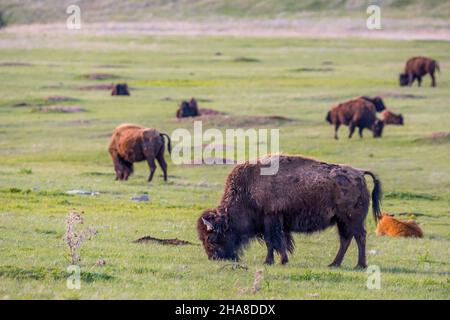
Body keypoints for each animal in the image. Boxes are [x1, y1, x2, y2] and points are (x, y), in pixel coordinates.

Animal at [199, 154, 382, 268]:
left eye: (212, 238)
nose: (213, 258)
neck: (247, 190)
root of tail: (359, 174)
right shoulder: (273, 222)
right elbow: (276, 242)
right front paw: (277, 260)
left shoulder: (271, 218)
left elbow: (273, 241)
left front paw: (274, 261)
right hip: (341, 221)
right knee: (346, 239)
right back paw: (334, 264)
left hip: (352, 219)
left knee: (359, 237)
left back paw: (359, 265)